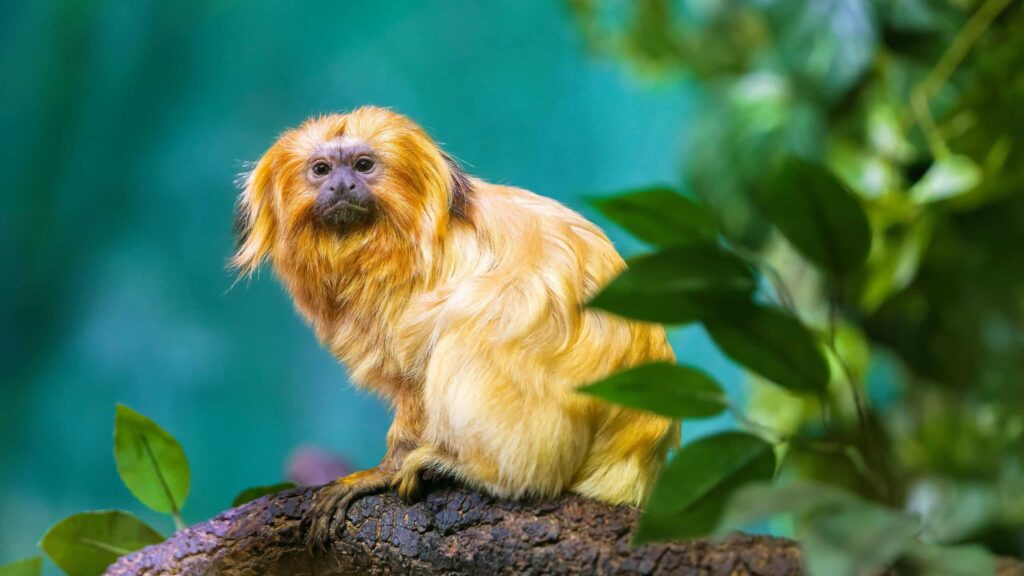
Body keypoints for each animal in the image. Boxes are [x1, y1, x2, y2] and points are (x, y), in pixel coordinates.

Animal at [232, 107, 680, 546]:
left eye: (363, 165)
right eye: (321, 169)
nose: (342, 186)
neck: (373, 244)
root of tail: (639, 449)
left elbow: (416, 379)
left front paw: (383, 472)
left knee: (477, 322)